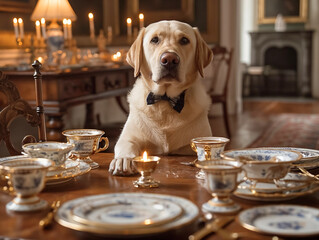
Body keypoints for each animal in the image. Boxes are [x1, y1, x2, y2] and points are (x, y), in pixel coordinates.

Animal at [109, 20, 214, 175]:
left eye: (184, 40)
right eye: (155, 40)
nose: (169, 59)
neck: (165, 100)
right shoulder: (128, 137)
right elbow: (125, 145)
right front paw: (123, 160)